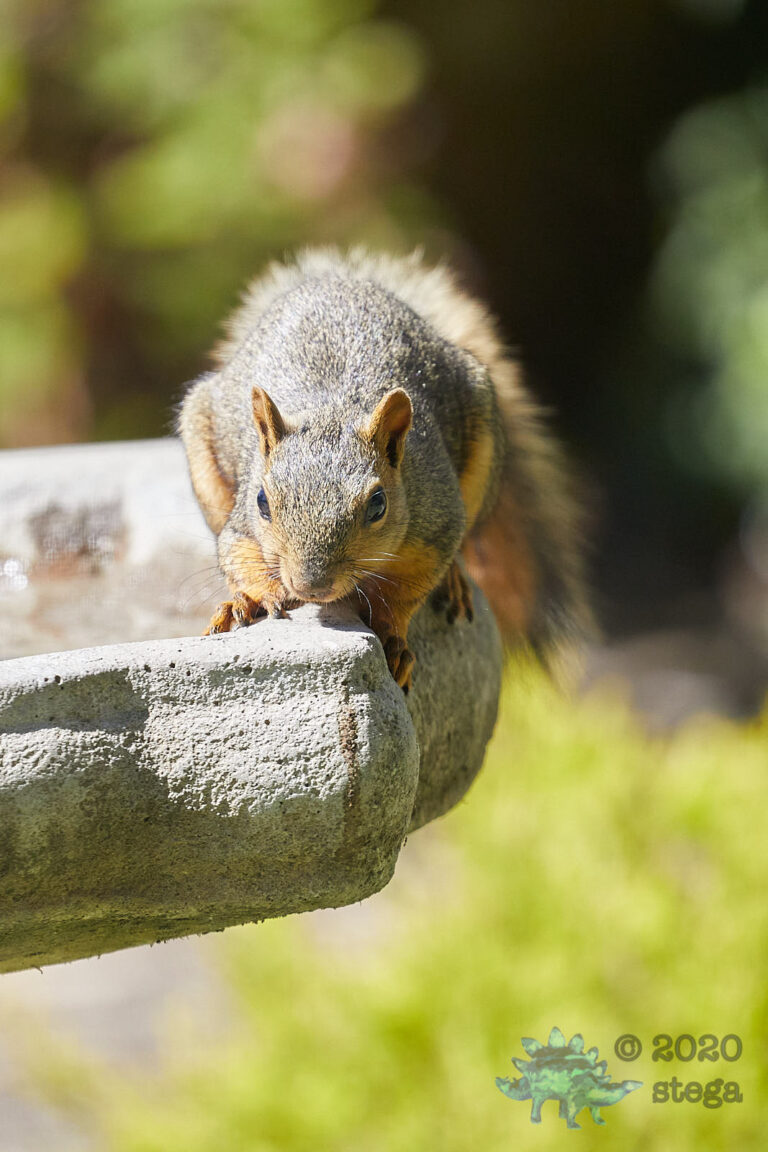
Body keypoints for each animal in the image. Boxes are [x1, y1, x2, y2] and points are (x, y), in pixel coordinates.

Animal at [178, 247, 590, 691]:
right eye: (262, 502)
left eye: (378, 505)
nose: (311, 585)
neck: (330, 408)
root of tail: (340, 282)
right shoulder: (240, 524)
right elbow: (239, 554)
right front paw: (251, 599)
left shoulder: (435, 523)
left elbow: (408, 588)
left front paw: (392, 636)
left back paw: (455, 579)